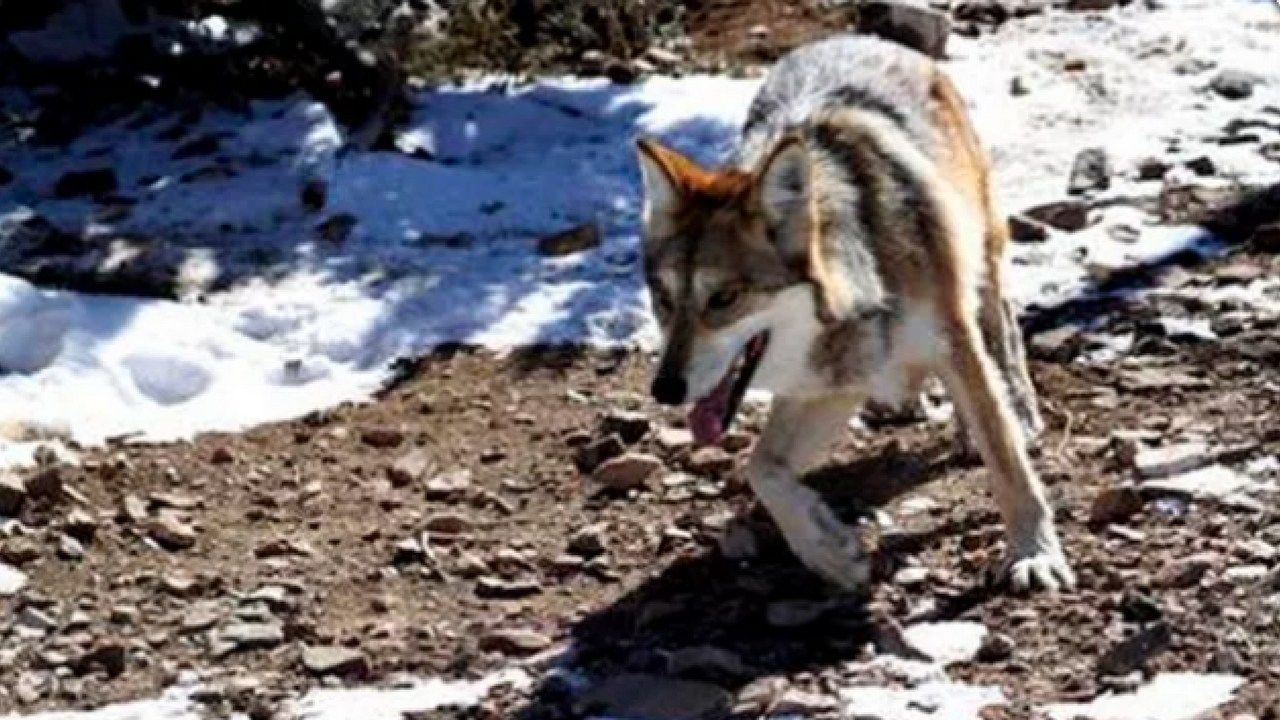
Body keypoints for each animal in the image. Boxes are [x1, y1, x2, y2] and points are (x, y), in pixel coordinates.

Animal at [635, 36, 1073, 592]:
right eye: (664, 299)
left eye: (724, 298)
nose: (664, 389)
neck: (867, 276)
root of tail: (860, 39)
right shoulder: (832, 381)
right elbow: (762, 469)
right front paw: (829, 551)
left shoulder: (951, 341)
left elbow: (1008, 463)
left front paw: (1033, 554)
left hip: (980, 250)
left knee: (1002, 325)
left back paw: (1015, 409)